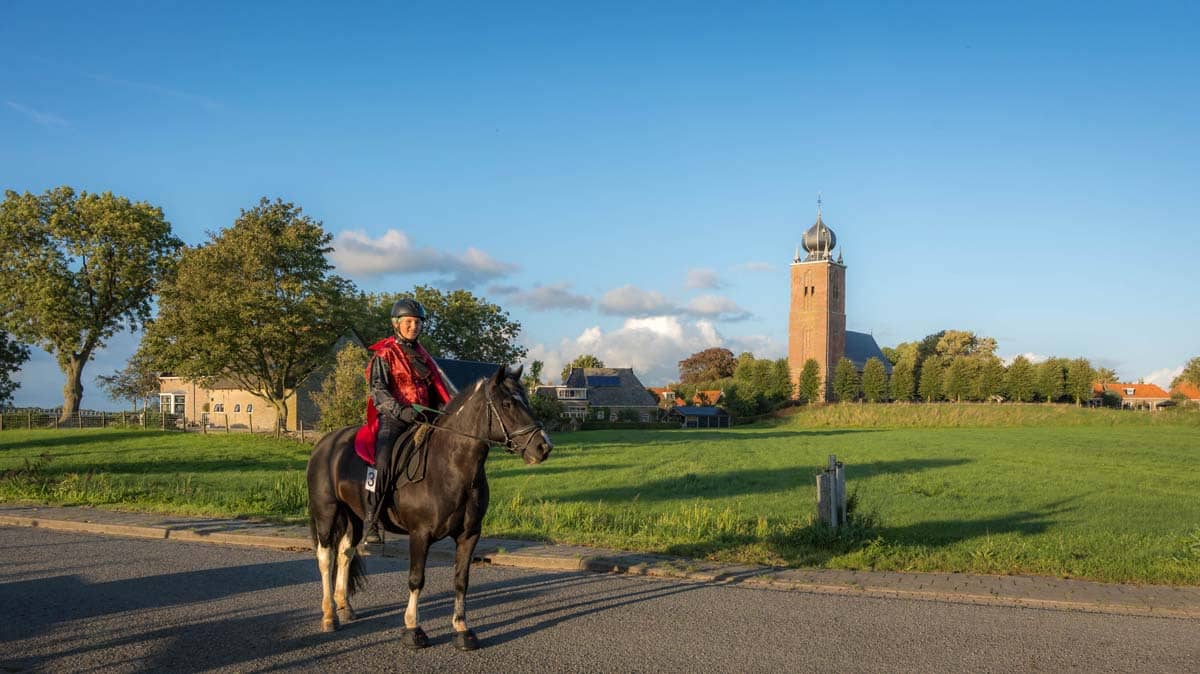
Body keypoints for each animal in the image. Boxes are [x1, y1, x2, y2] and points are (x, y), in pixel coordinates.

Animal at [307, 364, 554, 647]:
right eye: (507, 403)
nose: (544, 446)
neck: (450, 466)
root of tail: (325, 443)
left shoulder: (469, 535)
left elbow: (461, 580)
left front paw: (462, 629)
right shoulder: (420, 535)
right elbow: (416, 579)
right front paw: (413, 629)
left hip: (355, 517)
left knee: (345, 552)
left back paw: (344, 607)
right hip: (326, 512)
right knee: (326, 557)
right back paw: (329, 616)